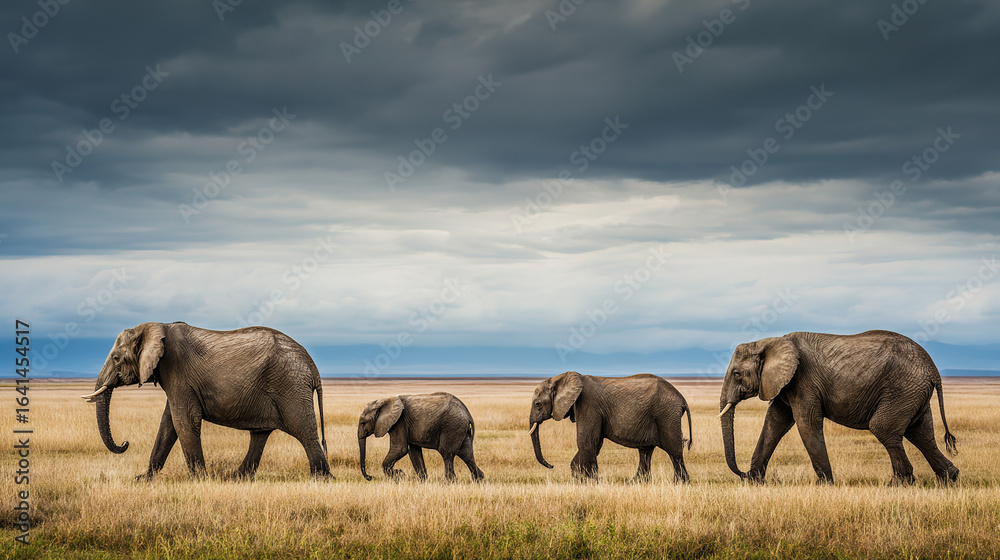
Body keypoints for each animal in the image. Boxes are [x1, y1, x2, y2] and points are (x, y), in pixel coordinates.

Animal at [81, 322, 330, 479]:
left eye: (116, 358)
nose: (125, 443)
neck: (154, 326)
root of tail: (313, 368)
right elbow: (168, 424)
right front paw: (142, 479)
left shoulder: (177, 371)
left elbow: (184, 420)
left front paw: (201, 479)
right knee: (260, 434)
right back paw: (237, 478)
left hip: (290, 386)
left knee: (304, 431)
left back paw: (322, 479)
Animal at [528, 371, 692, 482]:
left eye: (537, 404)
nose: (551, 466)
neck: (562, 378)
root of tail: (682, 399)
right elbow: (596, 443)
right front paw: (580, 478)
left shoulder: (588, 404)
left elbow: (586, 441)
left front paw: (590, 482)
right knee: (645, 451)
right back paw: (636, 482)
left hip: (666, 414)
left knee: (674, 451)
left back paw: (680, 483)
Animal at [719, 330, 959, 485]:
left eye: (737, 374)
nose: (744, 474)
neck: (768, 342)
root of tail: (933, 370)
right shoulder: (784, 385)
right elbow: (775, 423)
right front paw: (756, 482)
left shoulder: (802, 380)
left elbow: (806, 423)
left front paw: (825, 484)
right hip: (913, 393)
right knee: (921, 433)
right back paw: (950, 479)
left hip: (902, 390)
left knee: (884, 428)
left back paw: (900, 484)